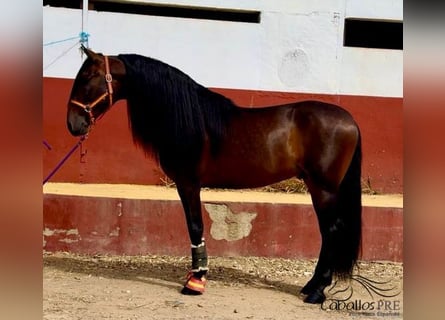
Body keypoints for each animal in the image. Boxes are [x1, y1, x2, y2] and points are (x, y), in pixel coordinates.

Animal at [67, 46, 362, 304]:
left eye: (87, 76)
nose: (73, 124)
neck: (190, 120)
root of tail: (350, 120)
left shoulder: (188, 183)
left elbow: (195, 226)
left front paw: (195, 282)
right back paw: (311, 286)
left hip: (323, 189)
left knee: (331, 231)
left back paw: (317, 291)